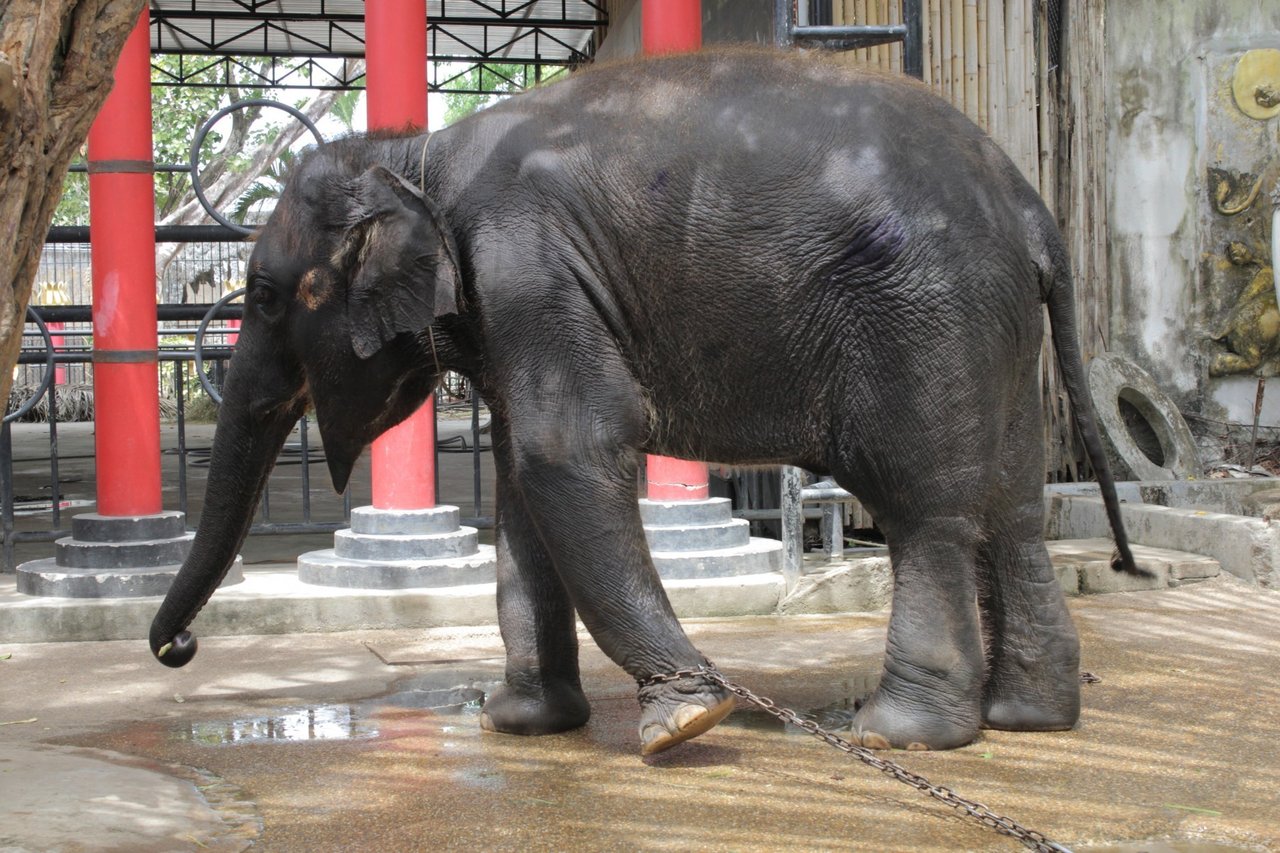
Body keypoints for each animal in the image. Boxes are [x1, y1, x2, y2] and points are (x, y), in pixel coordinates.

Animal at [149, 48, 1141, 753]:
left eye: (263, 296)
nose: (178, 649)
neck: (413, 154)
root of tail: (1031, 206)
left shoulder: (528, 261)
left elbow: (564, 454)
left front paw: (684, 722)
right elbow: (522, 488)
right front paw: (521, 723)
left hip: (924, 314)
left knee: (927, 511)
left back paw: (906, 735)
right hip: (993, 328)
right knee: (1012, 507)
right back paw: (1029, 717)